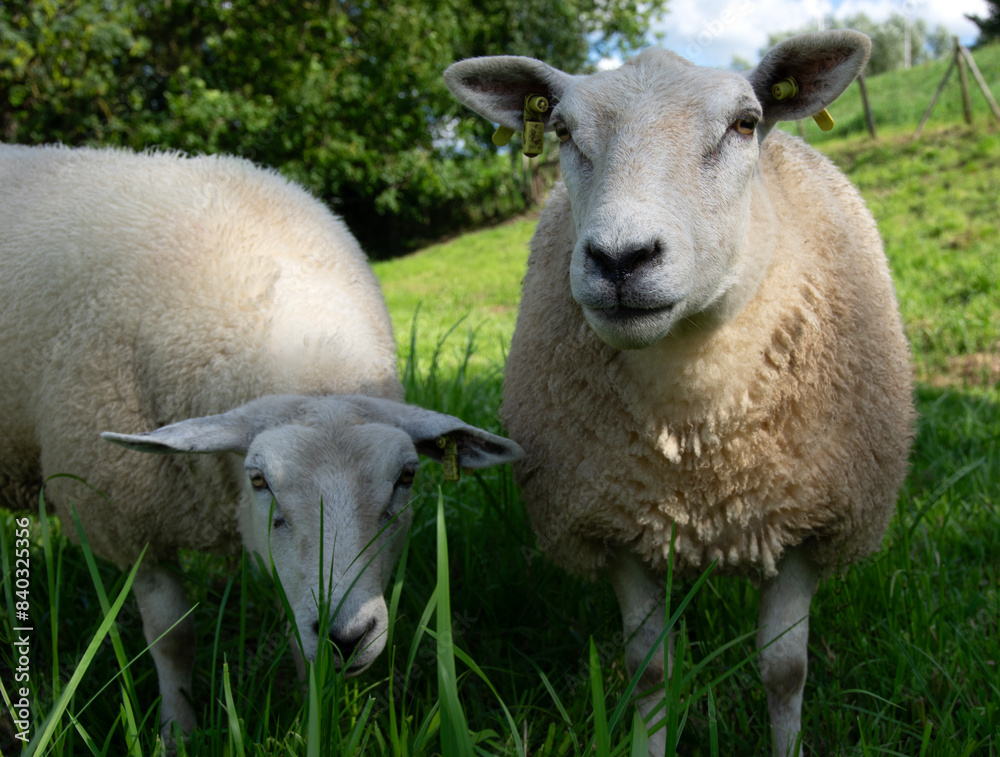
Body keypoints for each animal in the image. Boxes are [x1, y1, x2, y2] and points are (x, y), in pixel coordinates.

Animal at [0, 143, 522, 737]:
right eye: (258, 480)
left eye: (407, 477)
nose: (348, 637)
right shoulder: (131, 521)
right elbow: (173, 637)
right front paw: (178, 731)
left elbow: (297, 638)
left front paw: (311, 721)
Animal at [445, 31, 914, 756]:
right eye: (562, 130)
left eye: (745, 123)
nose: (620, 259)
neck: (700, 423)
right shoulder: (613, 524)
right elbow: (651, 670)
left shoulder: (808, 521)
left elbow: (784, 669)